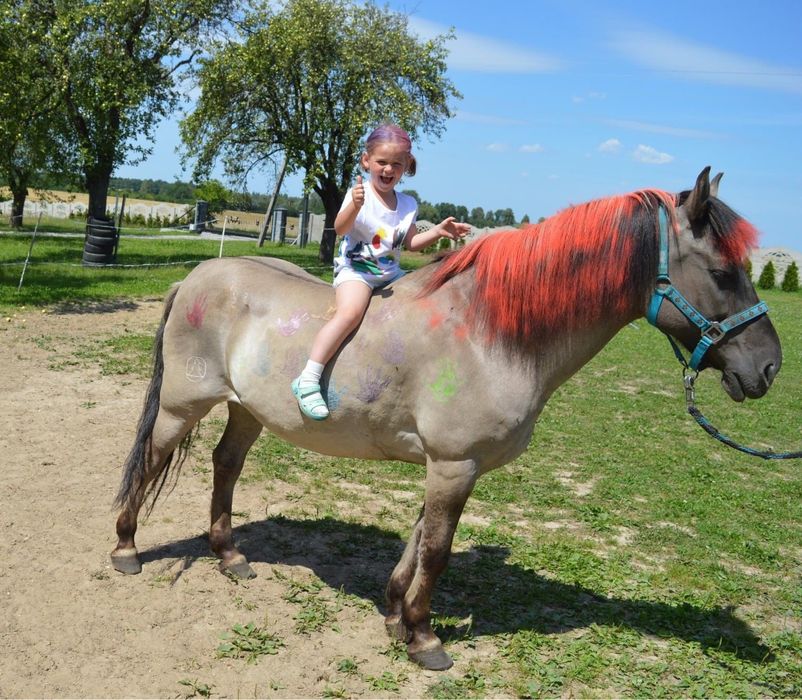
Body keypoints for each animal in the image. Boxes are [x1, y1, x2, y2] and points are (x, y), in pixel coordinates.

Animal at [109, 167, 780, 668]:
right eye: (723, 273)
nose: (769, 367)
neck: (490, 331)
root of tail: (196, 277)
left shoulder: (449, 466)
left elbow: (419, 540)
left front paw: (393, 615)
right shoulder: (455, 464)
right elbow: (437, 551)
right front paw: (426, 638)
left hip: (247, 409)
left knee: (225, 465)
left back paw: (229, 557)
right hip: (181, 406)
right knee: (151, 462)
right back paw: (126, 549)